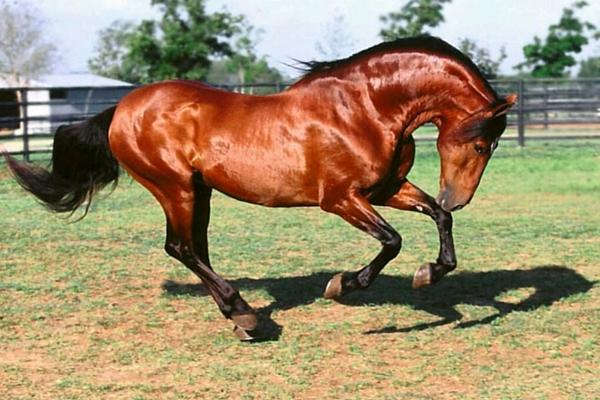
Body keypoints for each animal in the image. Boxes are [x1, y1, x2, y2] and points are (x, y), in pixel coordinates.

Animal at [3, 37, 516, 340]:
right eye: (482, 143)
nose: (459, 197)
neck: (366, 108)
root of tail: (123, 108)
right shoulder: (341, 199)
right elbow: (392, 241)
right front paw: (343, 285)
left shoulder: (385, 189)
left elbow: (436, 219)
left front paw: (429, 272)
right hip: (174, 187)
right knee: (180, 248)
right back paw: (245, 312)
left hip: (199, 191)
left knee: (195, 248)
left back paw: (241, 319)